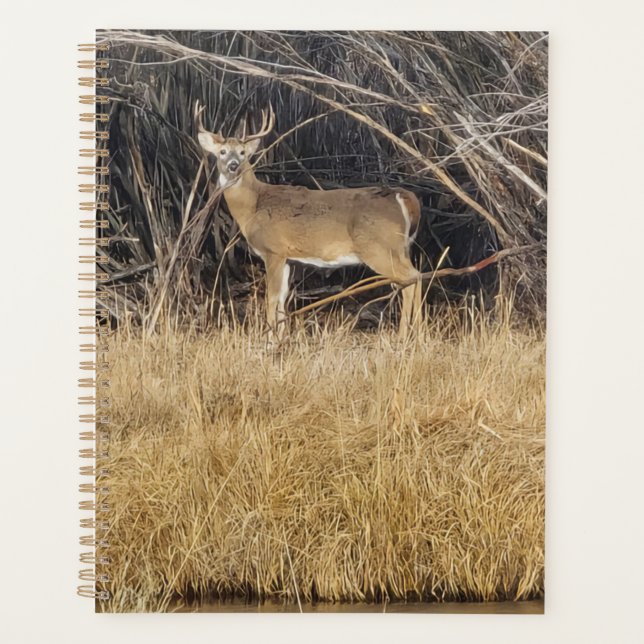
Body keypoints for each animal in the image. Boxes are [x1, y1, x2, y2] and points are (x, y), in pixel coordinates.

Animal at [195, 101, 423, 339]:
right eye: (222, 152)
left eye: (242, 153)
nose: (233, 165)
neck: (253, 206)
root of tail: (404, 197)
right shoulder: (289, 258)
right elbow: (282, 299)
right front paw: (280, 337)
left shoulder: (273, 250)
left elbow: (271, 298)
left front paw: (268, 338)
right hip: (400, 249)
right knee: (414, 277)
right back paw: (417, 332)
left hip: (380, 248)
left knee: (413, 277)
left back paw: (406, 333)